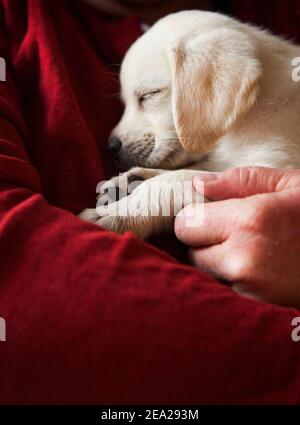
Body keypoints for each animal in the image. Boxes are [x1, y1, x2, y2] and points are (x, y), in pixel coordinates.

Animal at [79, 9, 300, 237]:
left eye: (148, 94)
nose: (111, 147)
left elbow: (182, 178)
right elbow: (202, 168)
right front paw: (130, 181)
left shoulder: (275, 166)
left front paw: (119, 209)